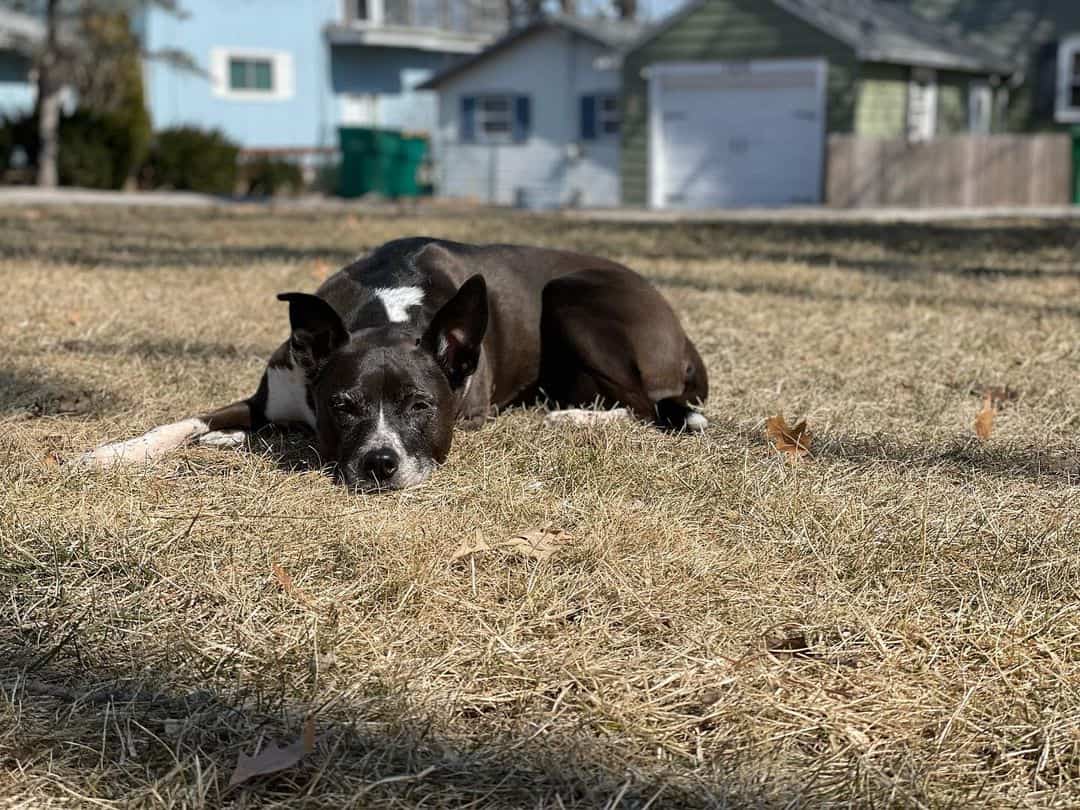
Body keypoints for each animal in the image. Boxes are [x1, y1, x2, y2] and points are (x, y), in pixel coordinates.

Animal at [73, 237, 708, 492]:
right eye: (343, 405)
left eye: (421, 406)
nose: (381, 464)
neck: (387, 310)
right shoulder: (269, 394)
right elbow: (183, 422)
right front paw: (115, 452)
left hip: (570, 297)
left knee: (647, 405)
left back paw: (574, 418)